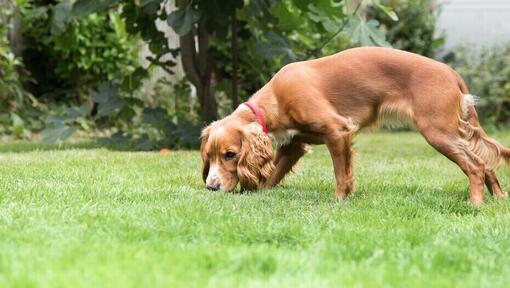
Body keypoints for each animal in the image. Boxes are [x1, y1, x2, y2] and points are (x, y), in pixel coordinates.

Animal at [199, 47, 510, 205]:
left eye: (230, 155)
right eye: (208, 157)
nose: (211, 187)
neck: (275, 98)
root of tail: (451, 73)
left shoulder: (337, 130)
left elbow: (341, 173)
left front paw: (340, 200)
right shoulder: (294, 145)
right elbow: (270, 176)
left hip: (438, 132)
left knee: (475, 165)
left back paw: (475, 204)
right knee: (487, 163)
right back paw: (498, 199)